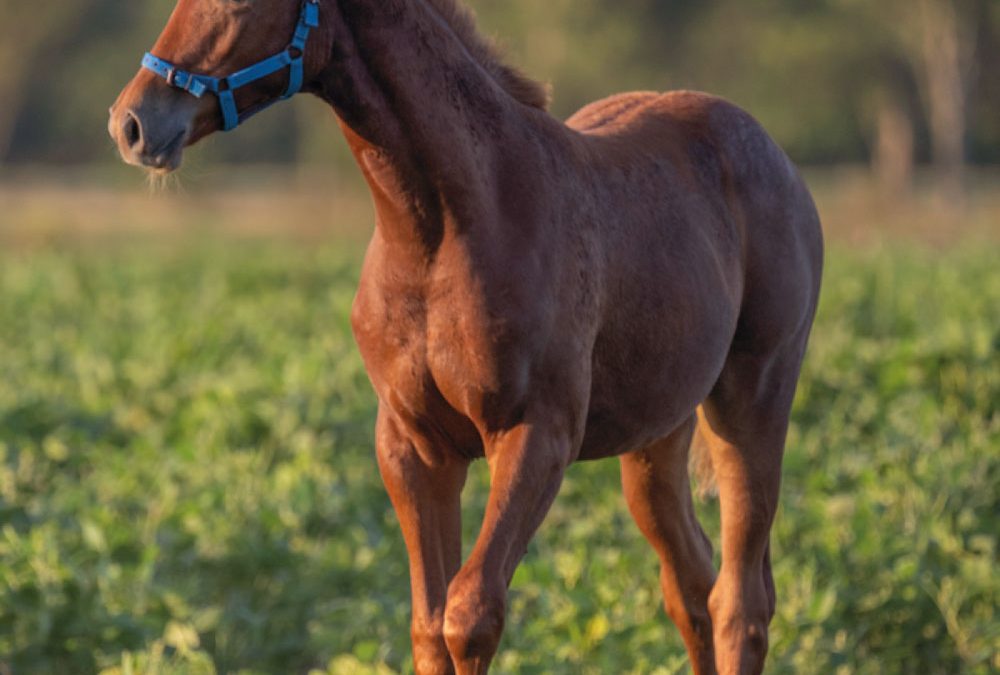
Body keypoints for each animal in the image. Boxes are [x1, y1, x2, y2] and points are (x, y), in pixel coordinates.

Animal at [111, 2, 820, 672]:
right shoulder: (413, 446)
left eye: (237, 3)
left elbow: (470, 615)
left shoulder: (537, 436)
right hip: (654, 440)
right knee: (691, 587)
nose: (132, 123)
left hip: (752, 403)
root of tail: (774, 156)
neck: (442, 234)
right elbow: (429, 628)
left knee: (741, 601)